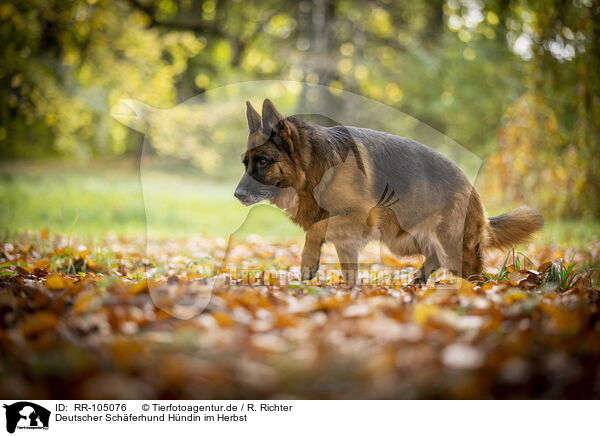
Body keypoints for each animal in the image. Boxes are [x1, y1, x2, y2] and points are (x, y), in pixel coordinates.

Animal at [234, 98, 544, 282]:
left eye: (263, 162)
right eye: (246, 163)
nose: (237, 195)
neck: (314, 169)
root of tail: (471, 186)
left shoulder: (357, 219)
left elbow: (315, 229)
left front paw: (308, 263)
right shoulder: (347, 240)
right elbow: (349, 273)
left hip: (454, 251)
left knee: (476, 275)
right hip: (403, 240)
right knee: (434, 258)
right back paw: (418, 280)